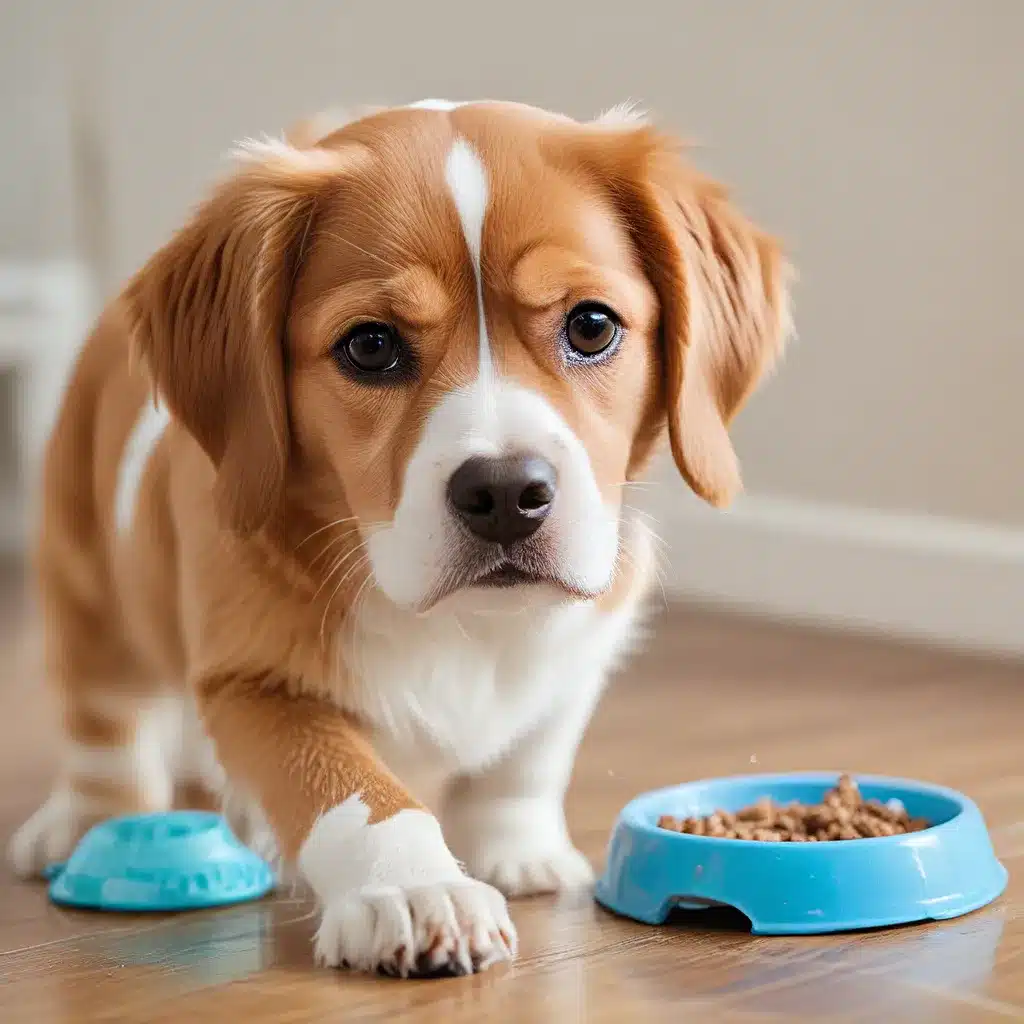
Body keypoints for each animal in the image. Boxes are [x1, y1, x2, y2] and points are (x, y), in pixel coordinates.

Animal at [9, 99, 790, 978]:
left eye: (591, 327)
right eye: (371, 345)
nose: (506, 494)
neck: (460, 622)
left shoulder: (583, 642)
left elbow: (529, 755)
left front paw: (515, 848)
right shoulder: (257, 680)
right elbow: (349, 789)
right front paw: (415, 887)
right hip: (86, 582)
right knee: (104, 722)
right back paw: (83, 821)